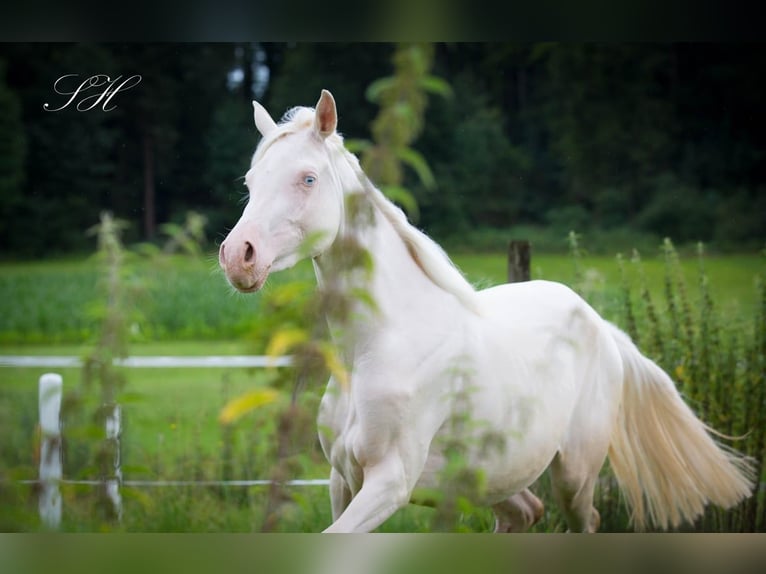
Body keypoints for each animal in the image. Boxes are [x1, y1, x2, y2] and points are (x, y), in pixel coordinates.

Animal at [219, 90, 752, 536]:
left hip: (575, 474)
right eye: (250, 181)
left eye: (307, 178)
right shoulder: (340, 480)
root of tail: (601, 326)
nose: (238, 257)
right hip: (491, 477)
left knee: (584, 520)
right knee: (526, 515)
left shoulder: (390, 483)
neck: (376, 346)